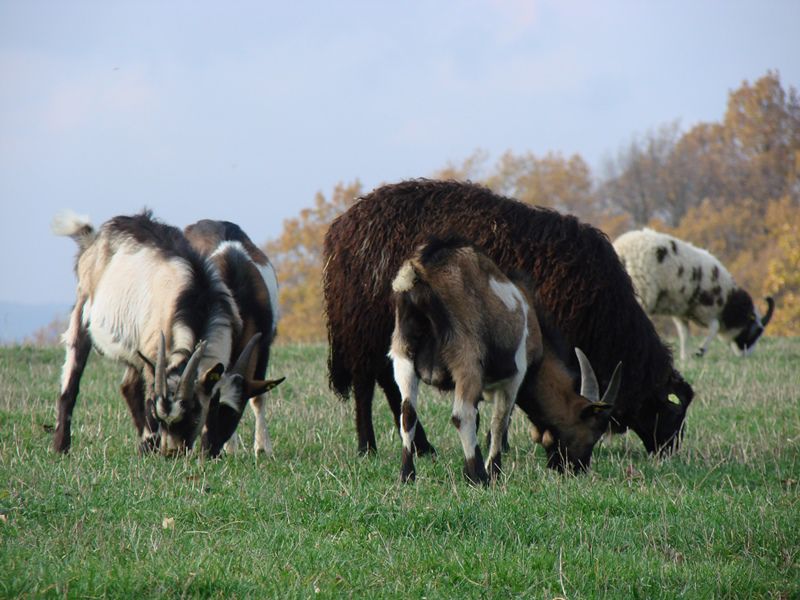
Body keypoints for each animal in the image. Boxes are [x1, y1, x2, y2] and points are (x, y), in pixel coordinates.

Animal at [52, 211, 245, 454]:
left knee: (129, 386)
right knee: (73, 376)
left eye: (194, 413)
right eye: (160, 416)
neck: (197, 298)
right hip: (84, 304)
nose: (172, 453)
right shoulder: (154, 352)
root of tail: (94, 237)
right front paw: (151, 445)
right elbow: (148, 396)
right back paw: (61, 447)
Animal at [184, 218, 284, 458]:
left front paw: (262, 447)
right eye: (204, 407)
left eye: (231, 412)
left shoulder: (264, 345)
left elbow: (258, 397)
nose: (210, 450)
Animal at [324, 178, 692, 460]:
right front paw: (505, 440)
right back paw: (367, 446)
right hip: (363, 325)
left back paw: (423, 447)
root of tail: (343, 225)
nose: (669, 452)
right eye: (673, 414)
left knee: (388, 381)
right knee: (365, 385)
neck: (606, 322)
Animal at [386, 237, 620, 486]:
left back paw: (407, 474)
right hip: (467, 359)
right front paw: (494, 471)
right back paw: (478, 477)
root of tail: (422, 272)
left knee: (408, 413)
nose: (577, 468)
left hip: (403, 355)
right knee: (462, 415)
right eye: (594, 430)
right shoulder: (514, 377)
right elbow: (499, 422)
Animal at [612, 229, 776, 360]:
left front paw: (685, 357)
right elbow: (714, 327)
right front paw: (700, 351)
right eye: (757, 331)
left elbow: (684, 334)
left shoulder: (682, 311)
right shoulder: (706, 306)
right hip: (642, 289)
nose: (745, 356)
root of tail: (623, 250)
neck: (728, 301)